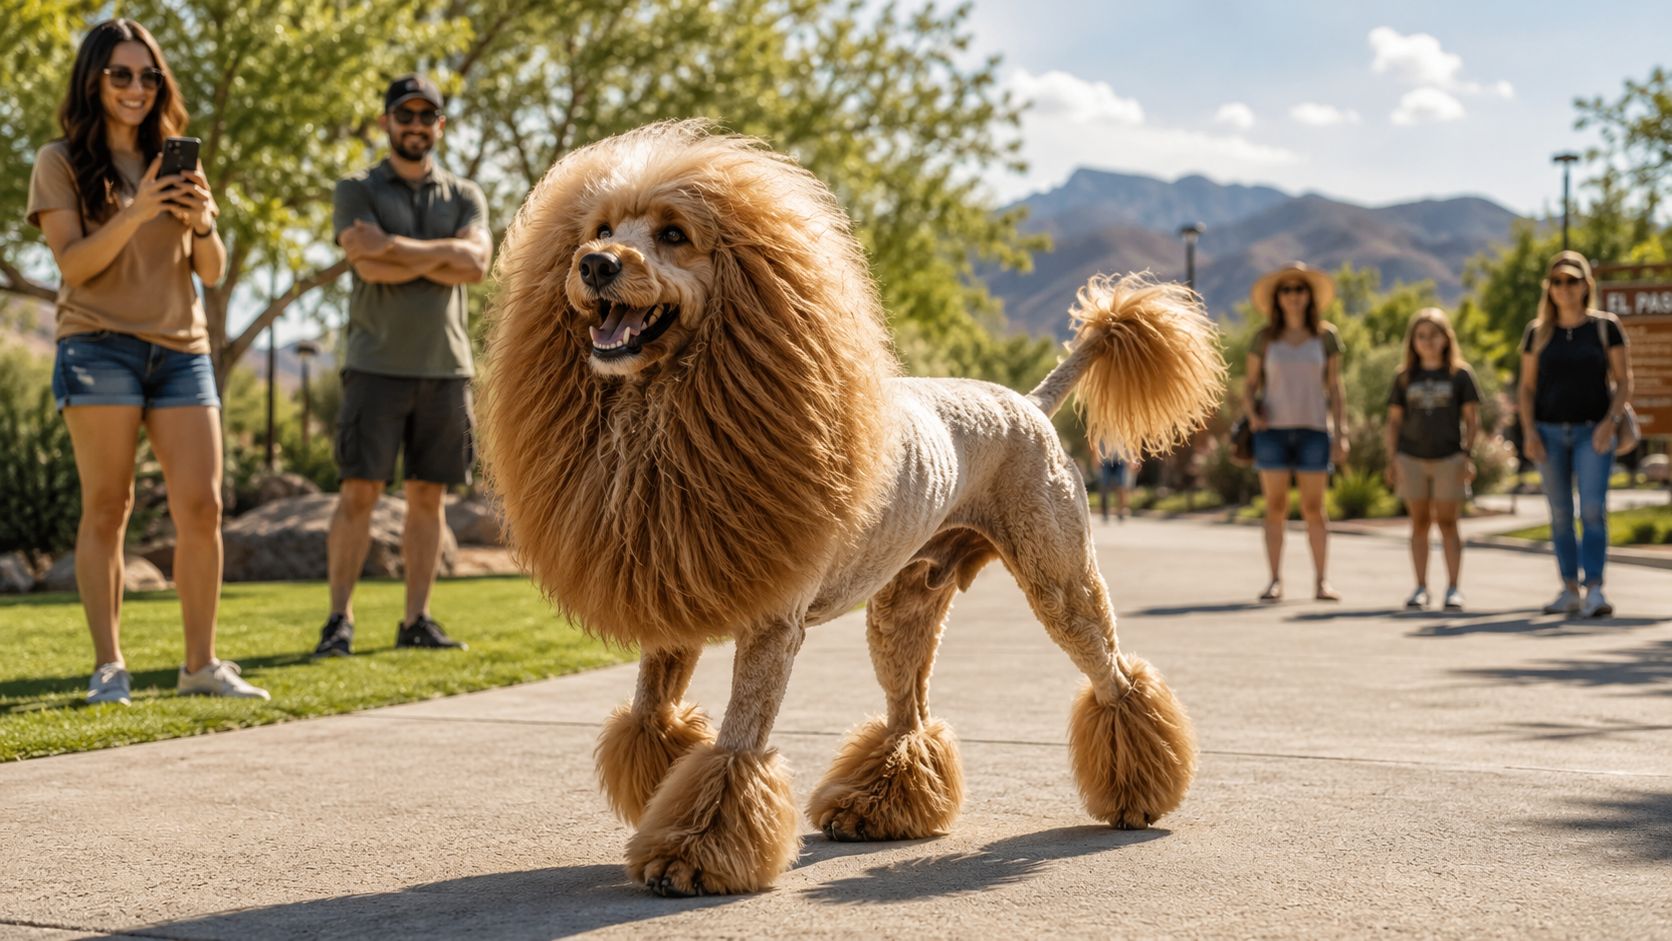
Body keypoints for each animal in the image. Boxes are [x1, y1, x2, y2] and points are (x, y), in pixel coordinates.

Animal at [481, 120, 1226, 897]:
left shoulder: (772, 628)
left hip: (1059, 578)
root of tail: (1027, 402)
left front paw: (691, 853)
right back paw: (879, 807)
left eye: (674, 234)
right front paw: (658, 789)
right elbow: (650, 714)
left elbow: (735, 749)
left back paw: (1136, 793)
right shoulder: (677, 602)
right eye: (600, 229)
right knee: (909, 715)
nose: (594, 264)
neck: (674, 405)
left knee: (1114, 677)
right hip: (905, 604)